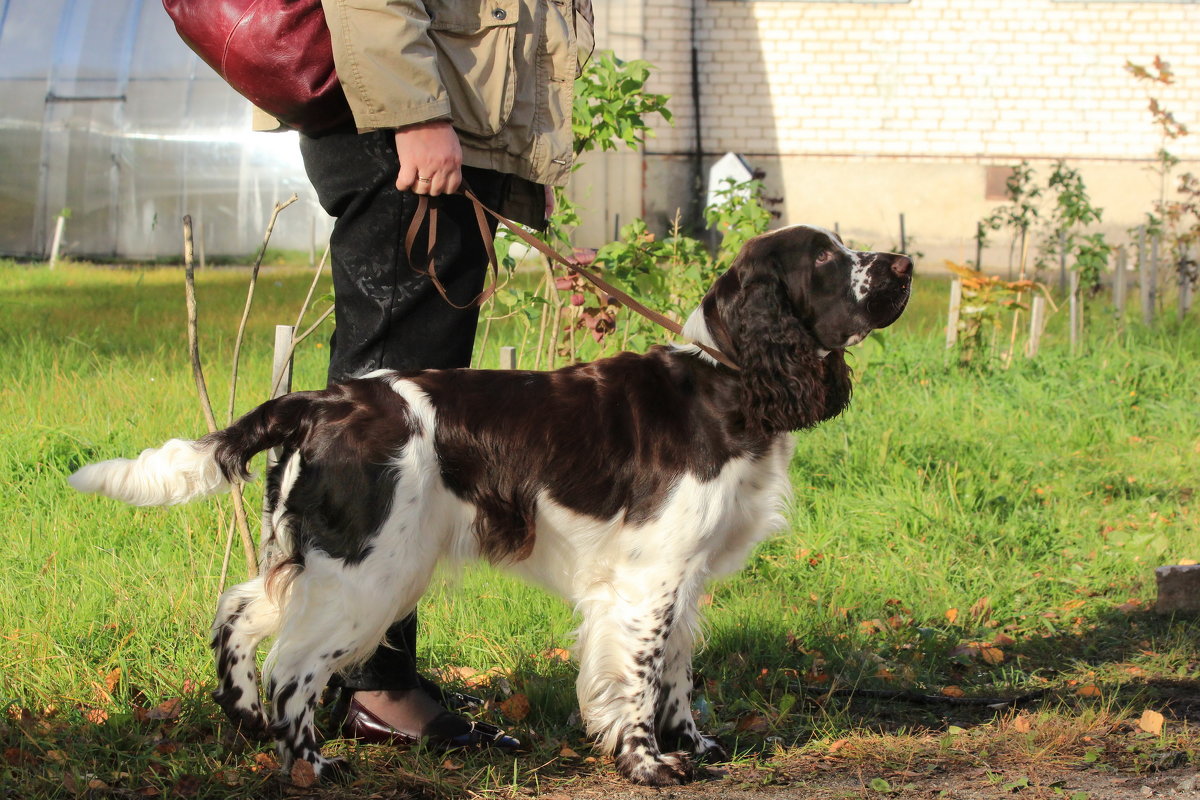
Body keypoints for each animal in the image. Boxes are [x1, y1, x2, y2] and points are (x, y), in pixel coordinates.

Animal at [68, 226, 907, 786]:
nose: (903, 262)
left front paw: (695, 747)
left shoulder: (682, 576)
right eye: (826, 259)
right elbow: (639, 677)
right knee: (293, 663)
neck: (726, 380)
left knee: (240, 610)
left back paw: (244, 716)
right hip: (370, 569)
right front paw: (647, 763)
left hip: (323, 553)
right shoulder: (647, 579)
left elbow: (676, 671)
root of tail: (323, 399)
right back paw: (310, 766)